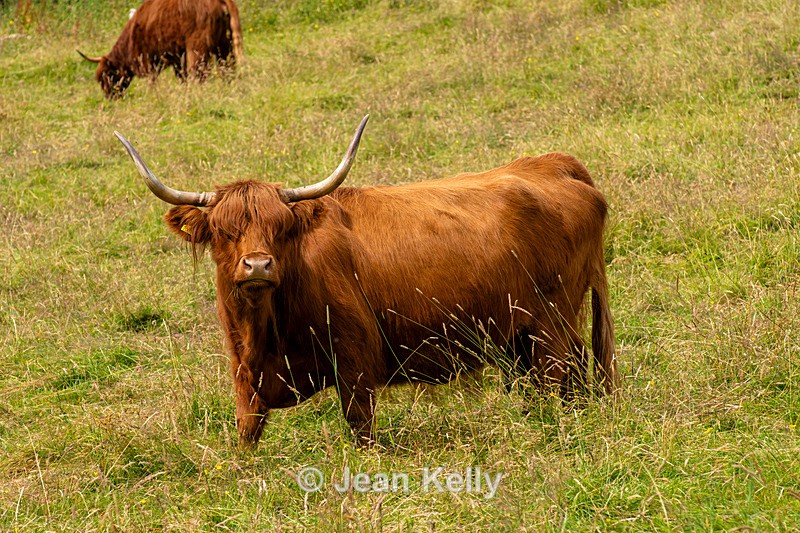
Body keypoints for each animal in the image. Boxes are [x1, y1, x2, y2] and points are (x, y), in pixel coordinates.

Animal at [78, 0, 244, 99]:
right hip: (225, 46)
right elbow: (182, 77)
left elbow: (153, 81)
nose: (109, 97)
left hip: (198, 48)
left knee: (199, 74)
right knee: (227, 69)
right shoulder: (179, 58)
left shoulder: (148, 60)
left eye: (106, 76)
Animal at [114, 116, 619, 448]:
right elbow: (246, 433)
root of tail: (553, 163)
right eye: (223, 231)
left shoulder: (355, 359)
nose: (257, 266)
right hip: (522, 335)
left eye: (281, 227)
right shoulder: (243, 371)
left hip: (551, 325)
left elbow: (360, 428)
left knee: (562, 379)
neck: (266, 334)